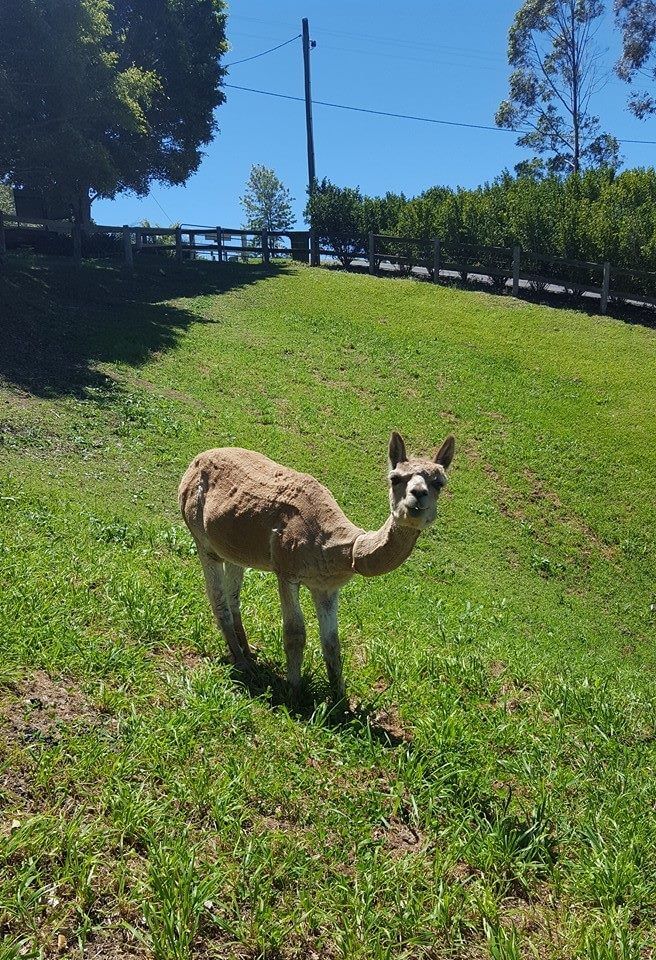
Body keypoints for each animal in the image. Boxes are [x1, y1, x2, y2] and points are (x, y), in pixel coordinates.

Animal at [178, 432, 455, 698]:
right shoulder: (286, 571)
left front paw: (340, 700)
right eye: (395, 478)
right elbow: (295, 634)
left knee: (233, 596)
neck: (341, 548)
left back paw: (248, 651)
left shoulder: (326, 586)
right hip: (202, 539)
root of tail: (196, 460)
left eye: (439, 482)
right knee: (218, 598)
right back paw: (241, 661)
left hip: (235, 548)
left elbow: (332, 643)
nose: (418, 495)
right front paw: (294, 694)